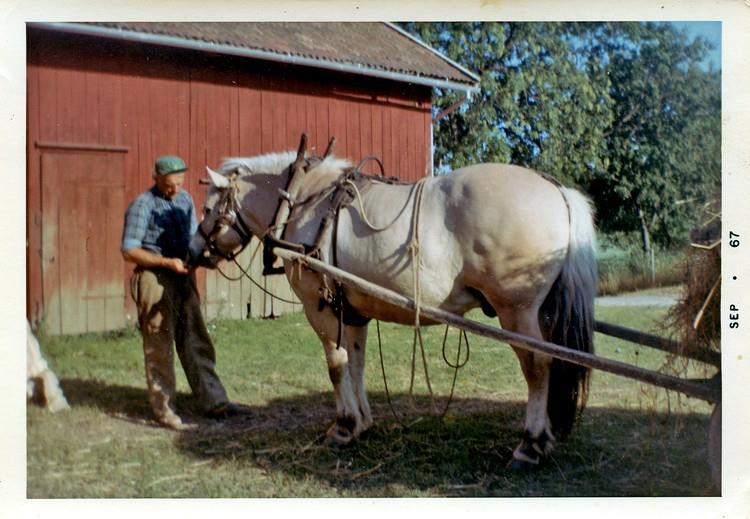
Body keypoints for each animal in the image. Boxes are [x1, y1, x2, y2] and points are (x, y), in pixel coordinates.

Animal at [188, 144, 600, 470]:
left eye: (207, 209)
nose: (193, 251)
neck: (303, 200)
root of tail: (556, 189)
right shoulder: (351, 309)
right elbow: (355, 362)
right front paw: (362, 422)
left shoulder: (320, 308)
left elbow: (336, 366)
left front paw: (343, 426)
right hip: (541, 312)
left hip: (517, 310)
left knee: (538, 366)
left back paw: (530, 444)